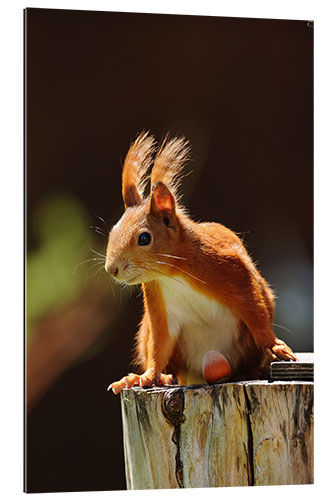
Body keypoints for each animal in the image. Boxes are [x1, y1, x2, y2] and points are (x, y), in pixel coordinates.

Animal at [104, 132, 296, 394]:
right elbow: (159, 344)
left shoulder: (233, 272)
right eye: (113, 231)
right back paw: (161, 378)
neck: (172, 273)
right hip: (149, 334)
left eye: (144, 238)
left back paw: (253, 371)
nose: (111, 269)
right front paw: (149, 376)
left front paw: (275, 346)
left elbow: (255, 313)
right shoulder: (160, 305)